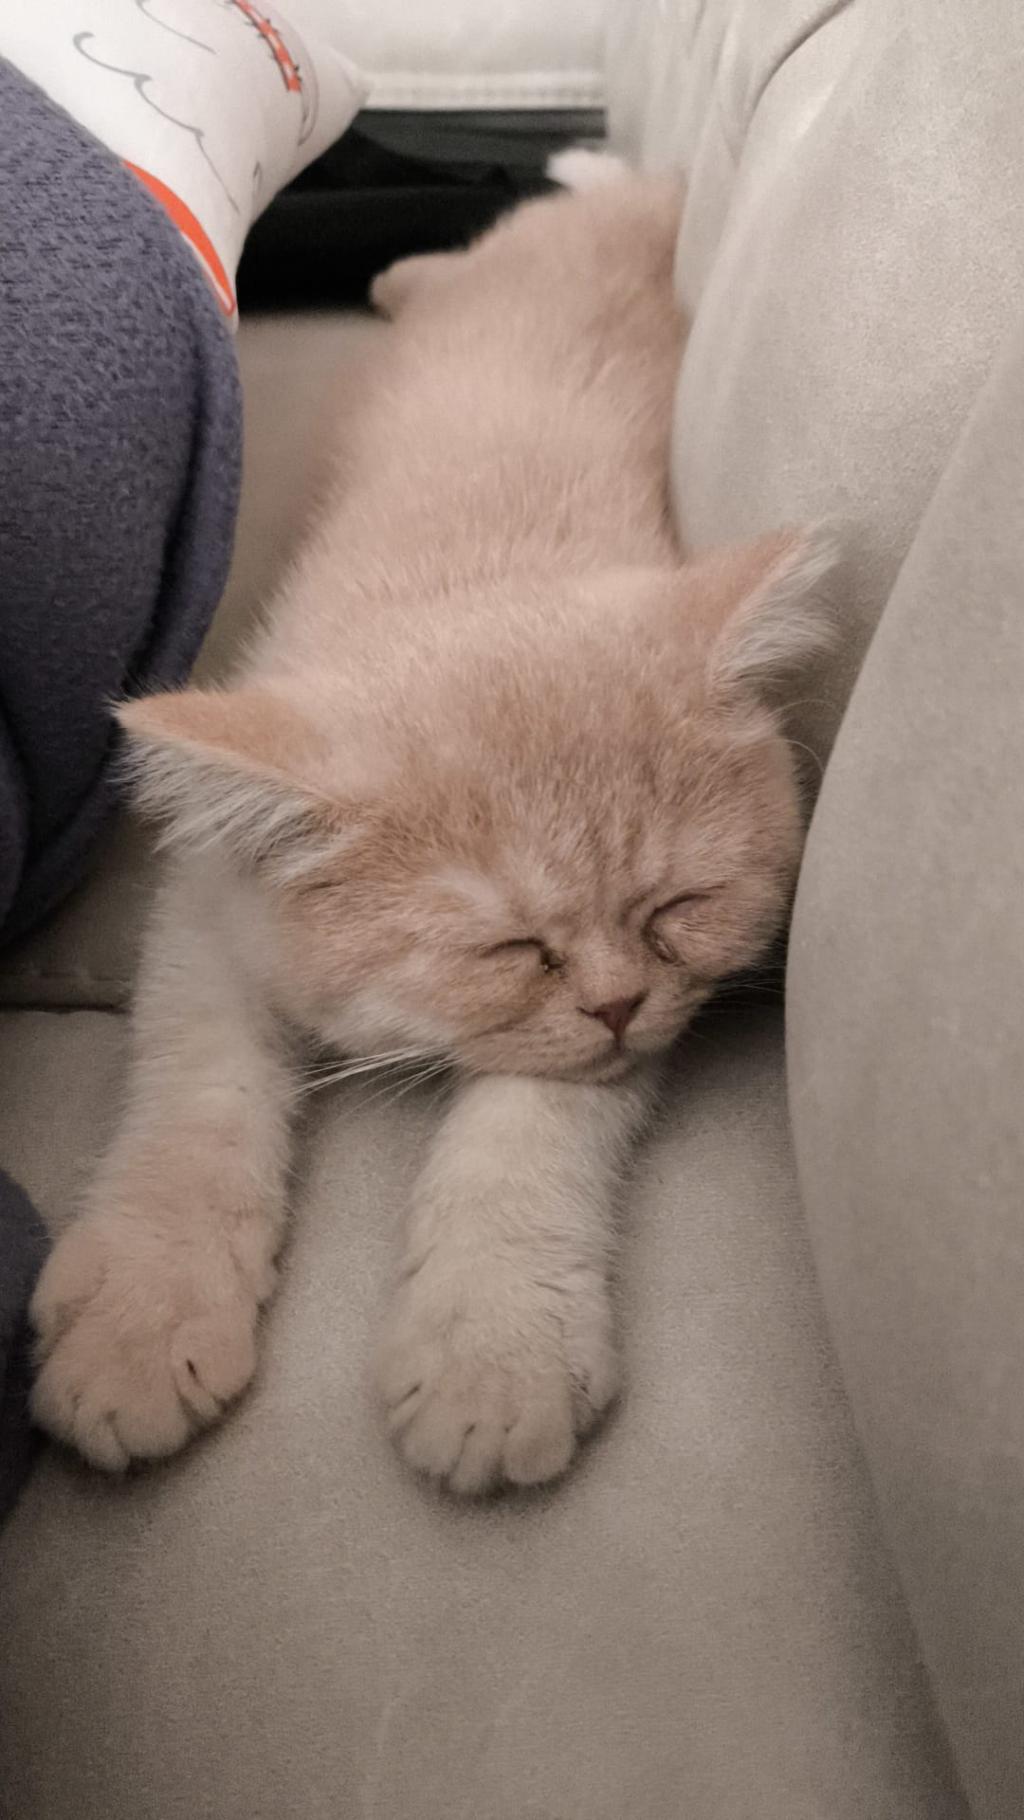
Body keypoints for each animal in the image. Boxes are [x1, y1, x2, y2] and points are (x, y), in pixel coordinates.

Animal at [30, 156, 833, 1493]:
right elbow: (194, 1099)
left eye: (674, 909)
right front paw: (142, 1314)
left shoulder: (609, 1040)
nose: (616, 1000)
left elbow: (527, 1133)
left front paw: (491, 1346)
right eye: (512, 948)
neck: (465, 571)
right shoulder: (204, 913)